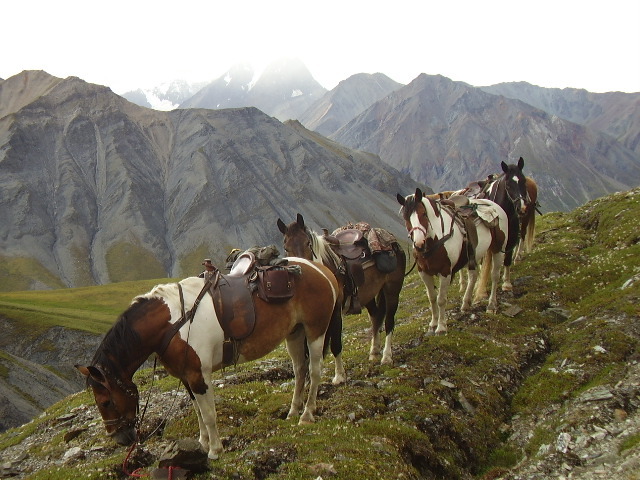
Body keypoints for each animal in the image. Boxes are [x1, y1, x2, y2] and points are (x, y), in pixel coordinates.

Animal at [76, 258, 341, 460]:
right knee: (299, 370)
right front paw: (202, 443)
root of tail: (320, 269)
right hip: (294, 334)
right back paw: (293, 411)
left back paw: (307, 415)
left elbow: (210, 414)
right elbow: (198, 412)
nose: (120, 439)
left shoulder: (199, 376)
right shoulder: (187, 377)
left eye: (105, 402)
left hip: (315, 331)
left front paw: (215, 450)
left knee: (315, 371)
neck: (173, 323)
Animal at [277, 214, 406, 365]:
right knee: (376, 316)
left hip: (392, 288)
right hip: (368, 295)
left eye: (308, 243)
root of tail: (392, 241)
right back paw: (374, 352)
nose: (302, 271)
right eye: (286, 248)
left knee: (389, 321)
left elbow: (335, 344)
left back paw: (386, 356)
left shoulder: (336, 310)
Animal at [396, 188, 508, 335]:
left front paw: (441, 327)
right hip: (473, 257)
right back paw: (466, 303)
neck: (436, 241)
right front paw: (433, 324)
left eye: (424, 214)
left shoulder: (445, 272)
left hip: (498, 249)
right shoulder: (423, 273)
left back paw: (491, 305)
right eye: (405, 218)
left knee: (495, 275)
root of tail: (492, 204)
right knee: (473, 276)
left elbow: (441, 299)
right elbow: (432, 298)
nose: (419, 244)